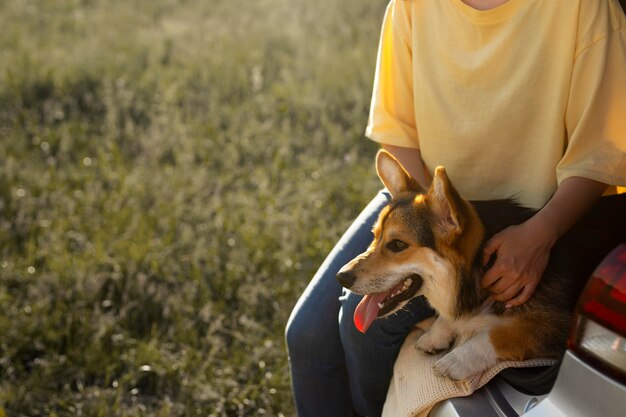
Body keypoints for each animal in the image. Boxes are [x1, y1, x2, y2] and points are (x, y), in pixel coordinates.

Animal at [338, 150, 620, 380]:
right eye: (374, 236)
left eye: (397, 245)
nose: (341, 277)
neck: (477, 269)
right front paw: (437, 335)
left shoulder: (557, 326)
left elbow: (501, 335)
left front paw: (456, 360)